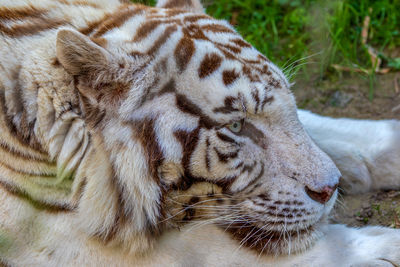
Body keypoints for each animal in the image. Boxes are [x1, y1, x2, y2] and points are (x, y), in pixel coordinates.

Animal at [0, 0, 398, 266]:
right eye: (235, 126)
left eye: (290, 102)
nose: (330, 189)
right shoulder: (51, 238)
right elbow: (213, 249)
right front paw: (383, 248)